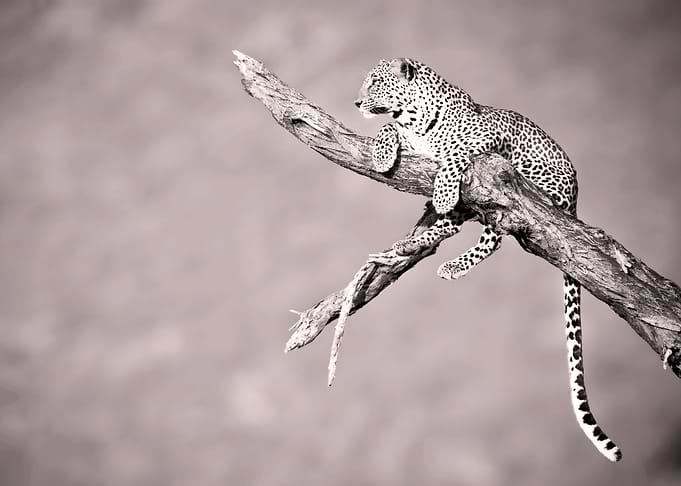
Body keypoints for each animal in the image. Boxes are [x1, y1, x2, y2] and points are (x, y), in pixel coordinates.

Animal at [354, 57, 621, 462]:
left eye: (376, 82)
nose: (356, 102)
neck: (413, 118)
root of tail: (575, 200)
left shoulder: (485, 138)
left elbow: (453, 153)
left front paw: (442, 190)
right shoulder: (408, 135)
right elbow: (387, 128)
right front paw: (384, 155)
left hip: (517, 187)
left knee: (493, 236)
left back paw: (449, 258)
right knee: (452, 228)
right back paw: (408, 245)